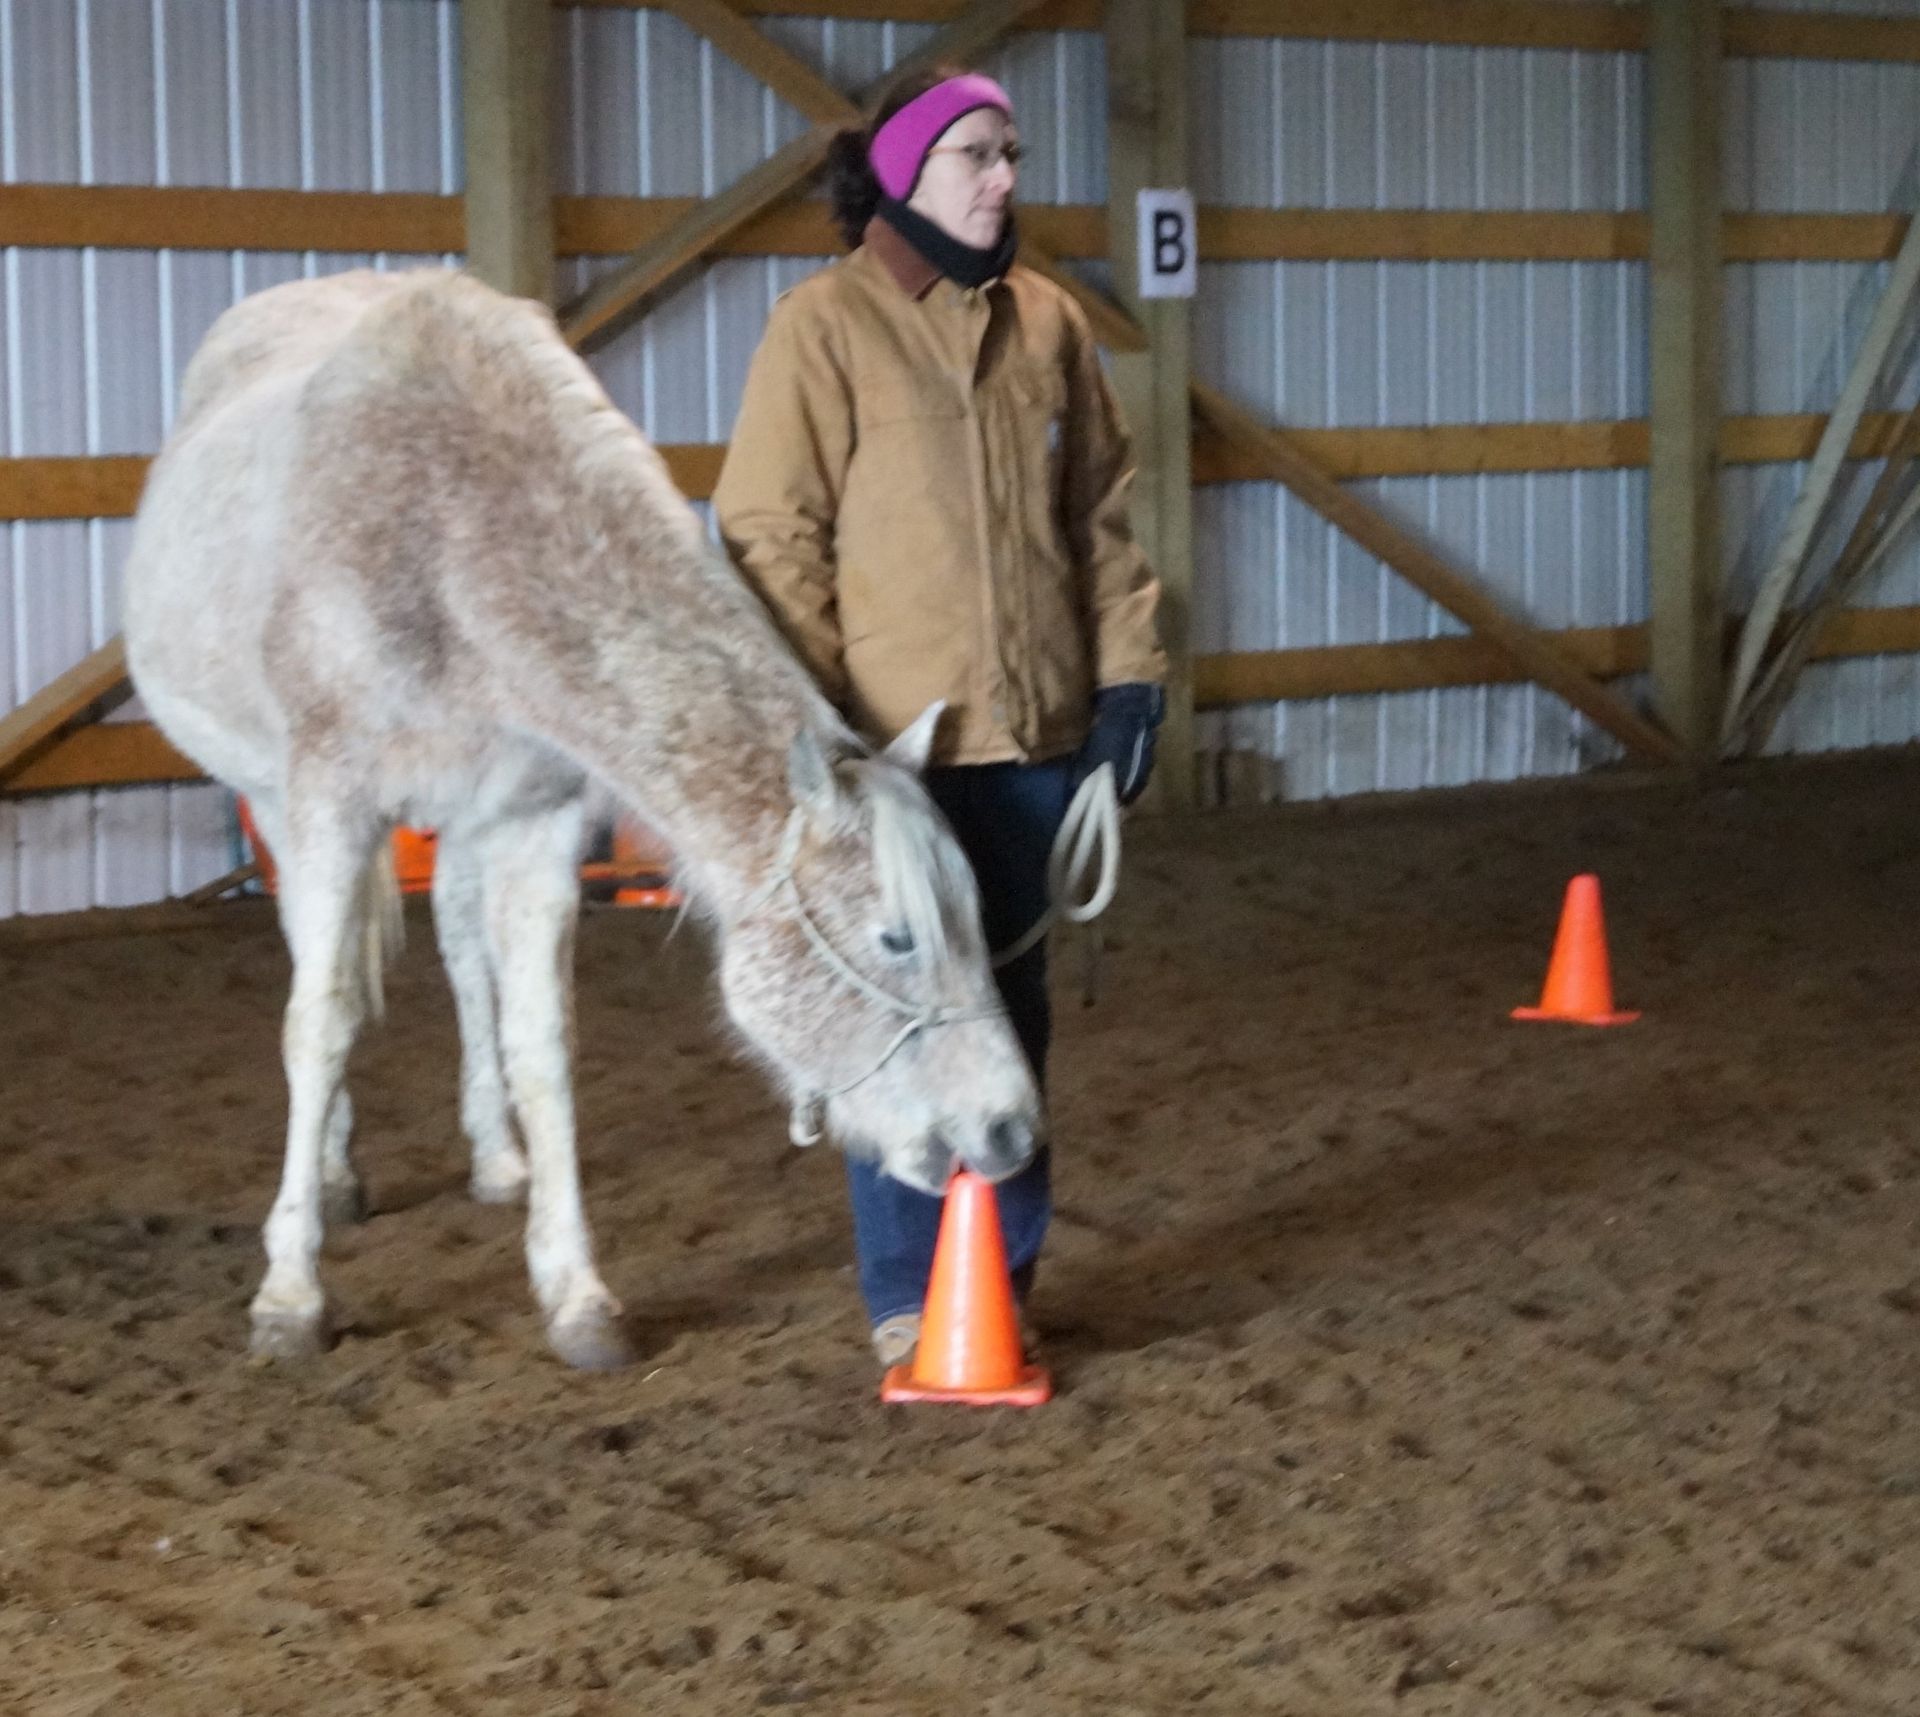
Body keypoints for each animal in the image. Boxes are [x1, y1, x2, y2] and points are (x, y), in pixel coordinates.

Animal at [122, 268, 1040, 1369]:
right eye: (896, 937)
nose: (1011, 1130)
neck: (449, 529)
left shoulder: (534, 818)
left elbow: (541, 1044)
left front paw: (576, 1293)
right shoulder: (330, 798)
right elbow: (322, 1021)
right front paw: (290, 1294)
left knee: (464, 957)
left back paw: (495, 1156)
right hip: (278, 801)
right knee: (319, 962)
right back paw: (338, 1175)